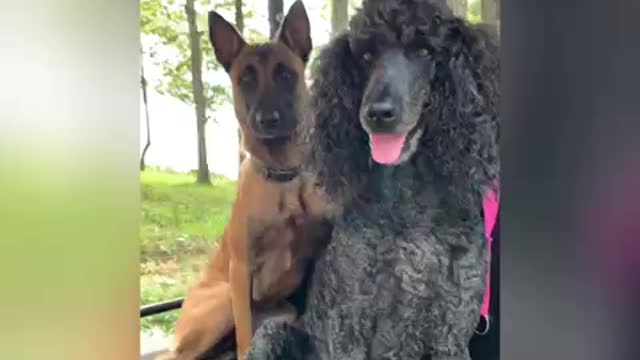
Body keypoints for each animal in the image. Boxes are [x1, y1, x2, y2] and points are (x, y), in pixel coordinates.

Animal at [169, 1, 328, 358]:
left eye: (286, 74)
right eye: (246, 79)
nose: (268, 120)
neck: (282, 177)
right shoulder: (240, 273)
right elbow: (244, 335)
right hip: (221, 304)